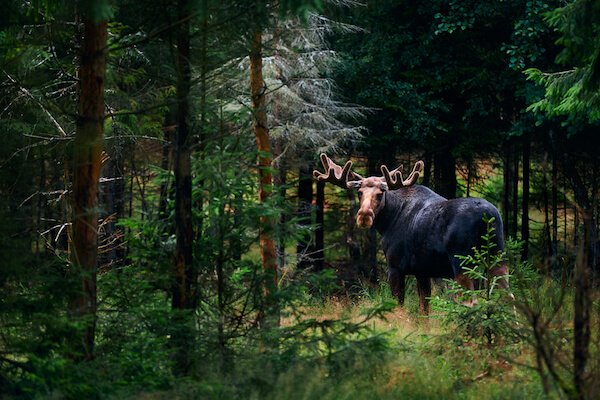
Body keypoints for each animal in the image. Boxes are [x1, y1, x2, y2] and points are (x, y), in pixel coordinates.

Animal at [312, 153, 508, 312]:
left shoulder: (395, 267)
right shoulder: (422, 271)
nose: (364, 216)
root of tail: (488, 217)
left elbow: (398, 307)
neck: (388, 221)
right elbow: (424, 310)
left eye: (380, 193)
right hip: (498, 257)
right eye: (360, 192)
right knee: (508, 297)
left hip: (463, 263)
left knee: (471, 302)